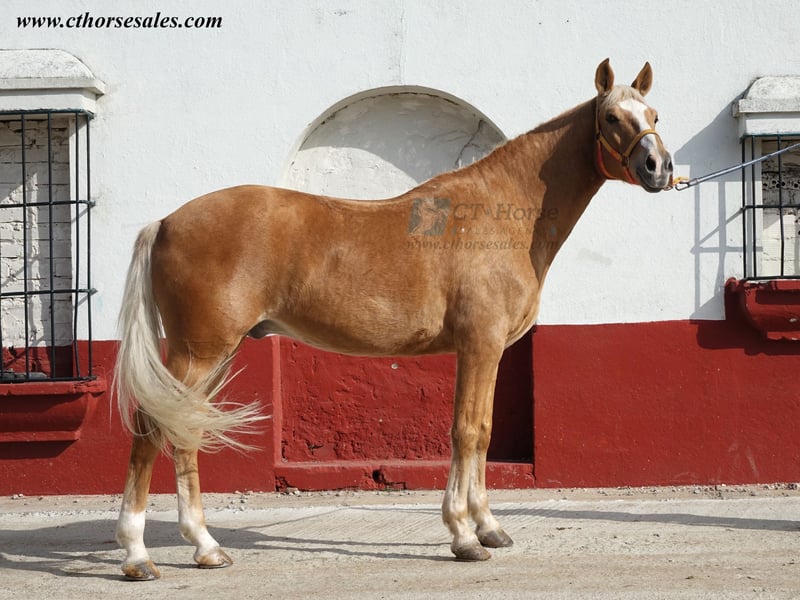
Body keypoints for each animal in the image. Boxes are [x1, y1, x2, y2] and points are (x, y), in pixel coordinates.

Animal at [113, 58, 673, 580]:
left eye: (654, 115)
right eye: (611, 116)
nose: (658, 167)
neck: (500, 213)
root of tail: (165, 222)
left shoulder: (490, 351)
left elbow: (485, 430)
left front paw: (489, 528)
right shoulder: (479, 344)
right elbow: (466, 431)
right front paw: (464, 536)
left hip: (215, 354)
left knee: (183, 432)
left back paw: (206, 548)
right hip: (197, 351)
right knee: (149, 429)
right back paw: (138, 555)